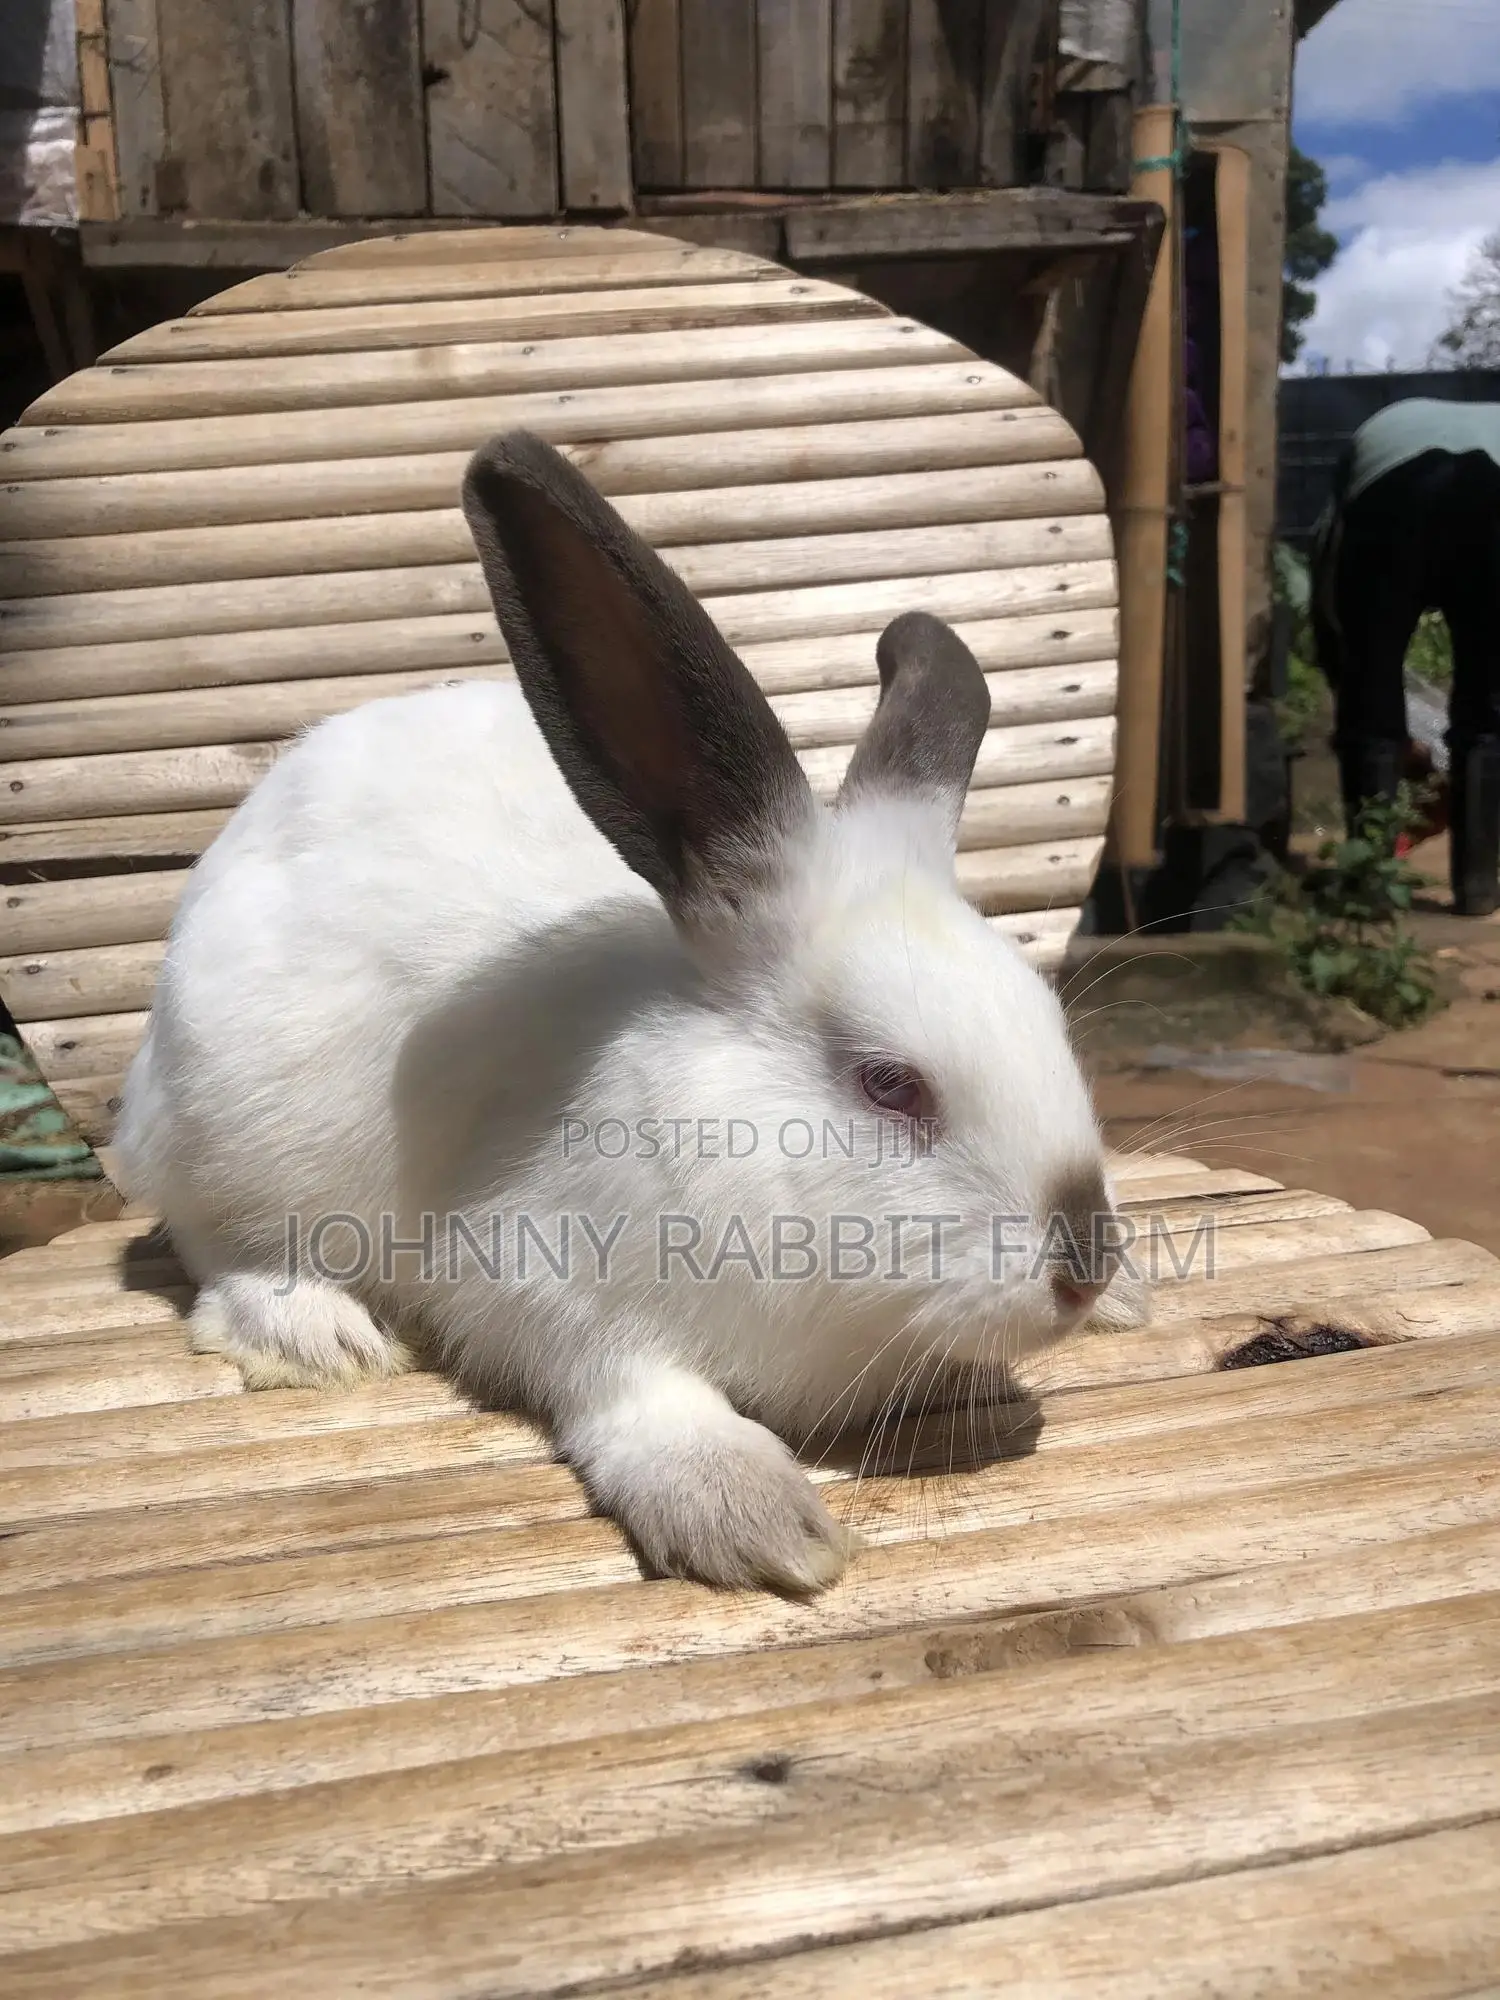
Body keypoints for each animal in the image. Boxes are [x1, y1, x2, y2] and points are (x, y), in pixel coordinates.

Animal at [115, 429, 1149, 1595]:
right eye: (890, 1083)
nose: (1083, 1269)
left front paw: (1132, 1295)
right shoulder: (533, 1278)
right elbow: (633, 1389)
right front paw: (753, 1514)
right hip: (231, 1125)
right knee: (216, 1243)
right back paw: (316, 1333)